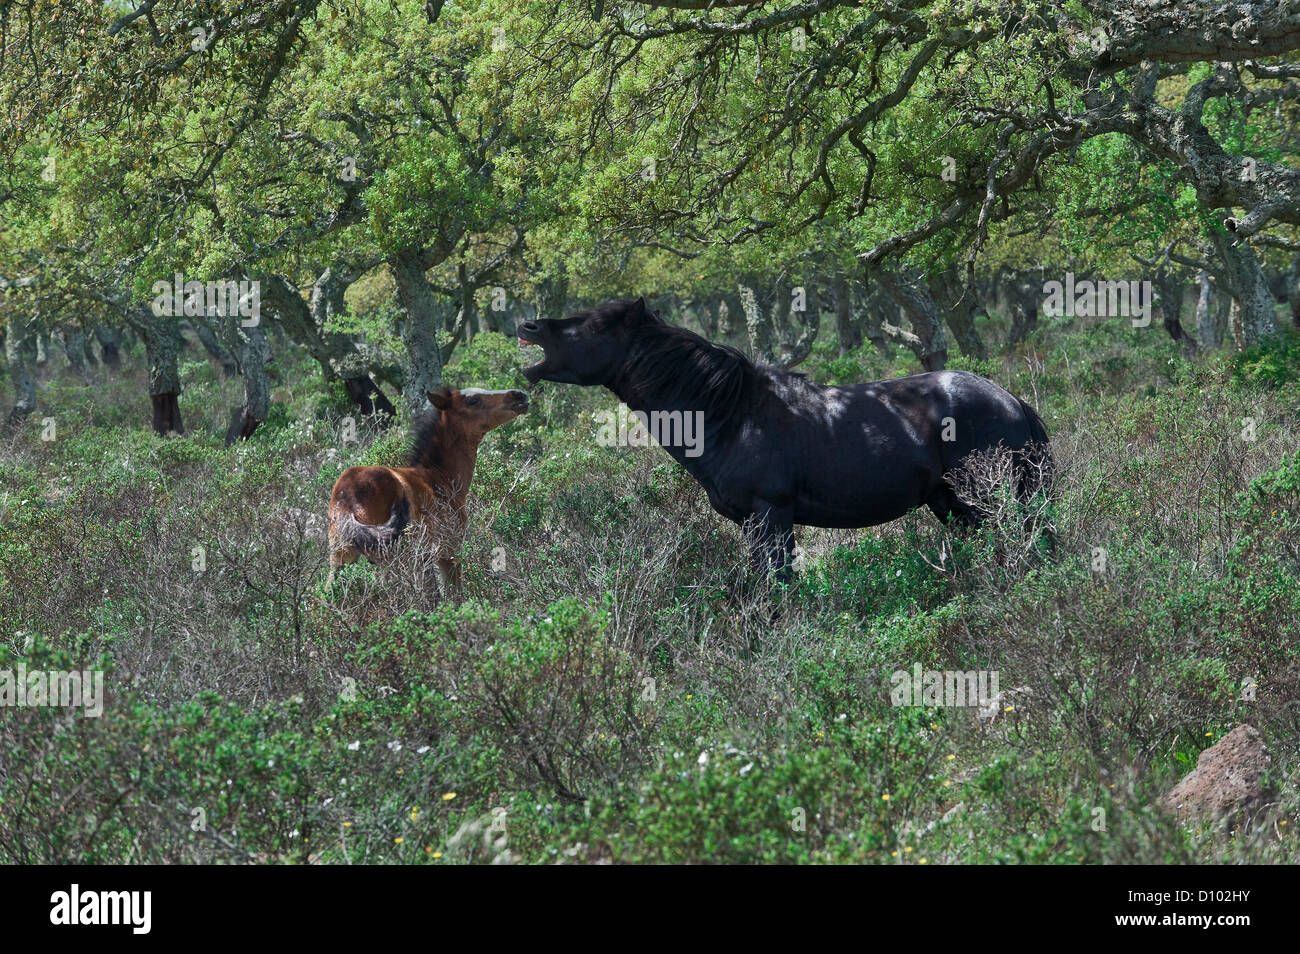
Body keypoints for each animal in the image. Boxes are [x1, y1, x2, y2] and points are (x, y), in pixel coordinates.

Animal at [512, 298, 1050, 582]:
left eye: (594, 324)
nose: (529, 324)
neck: (729, 414)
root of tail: (1011, 400)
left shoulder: (770, 517)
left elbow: (775, 589)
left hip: (991, 498)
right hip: (953, 503)